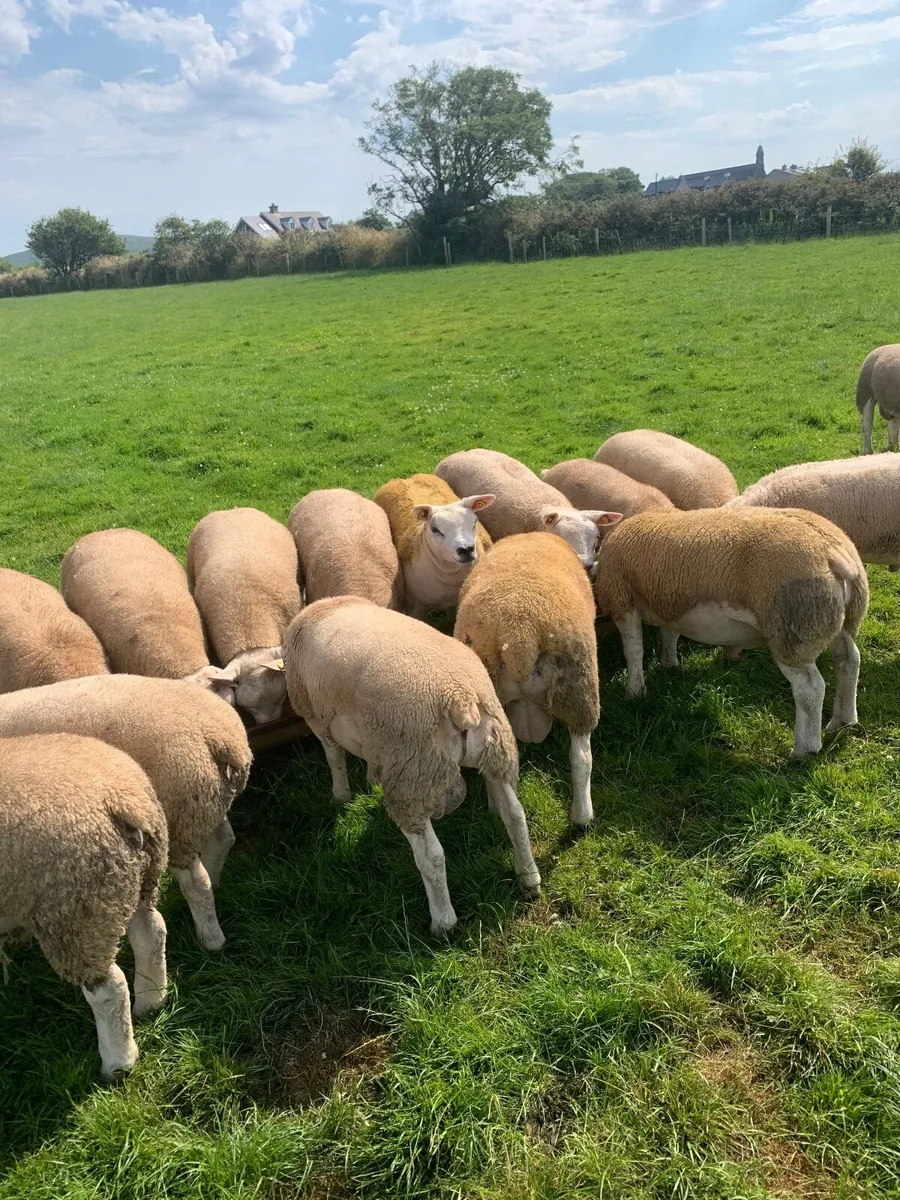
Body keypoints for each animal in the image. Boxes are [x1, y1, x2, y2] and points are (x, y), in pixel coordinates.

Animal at [0, 675, 252, 951]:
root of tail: (219, 735)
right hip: (203, 803)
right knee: (222, 841)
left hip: (176, 818)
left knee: (196, 883)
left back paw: (209, 938)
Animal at [0, 732, 168, 1078]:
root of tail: (124, 799)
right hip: (127, 883)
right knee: (150, 933)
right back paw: (150, 1001)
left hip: (73, 910)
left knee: (108, 989)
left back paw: (118, 1062)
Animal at [283, 596, 541, 936]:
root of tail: (461, 697)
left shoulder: (316, 716)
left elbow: (333, 757)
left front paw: (341, 796)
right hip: (497, 750)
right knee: (515, 816)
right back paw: (529, 878)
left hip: (412, 774)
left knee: (431, 856)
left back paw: (442, 922)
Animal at [373, 474, 494, 617]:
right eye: (435, 529)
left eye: (475, 521)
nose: (466, 550)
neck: (451, 578)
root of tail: (406, 478)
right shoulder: (415, 605)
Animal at [593, 507, 868, 758]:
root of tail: (834, 552)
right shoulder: (669, 600)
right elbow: (669, 635)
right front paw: (669, 665)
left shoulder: (621, 599)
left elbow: (633, 651)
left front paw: (634, 692)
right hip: (837, 620)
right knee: (848, 661)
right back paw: (843, 721)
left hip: (792, 628)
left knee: (810, 688)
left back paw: (804, 750)